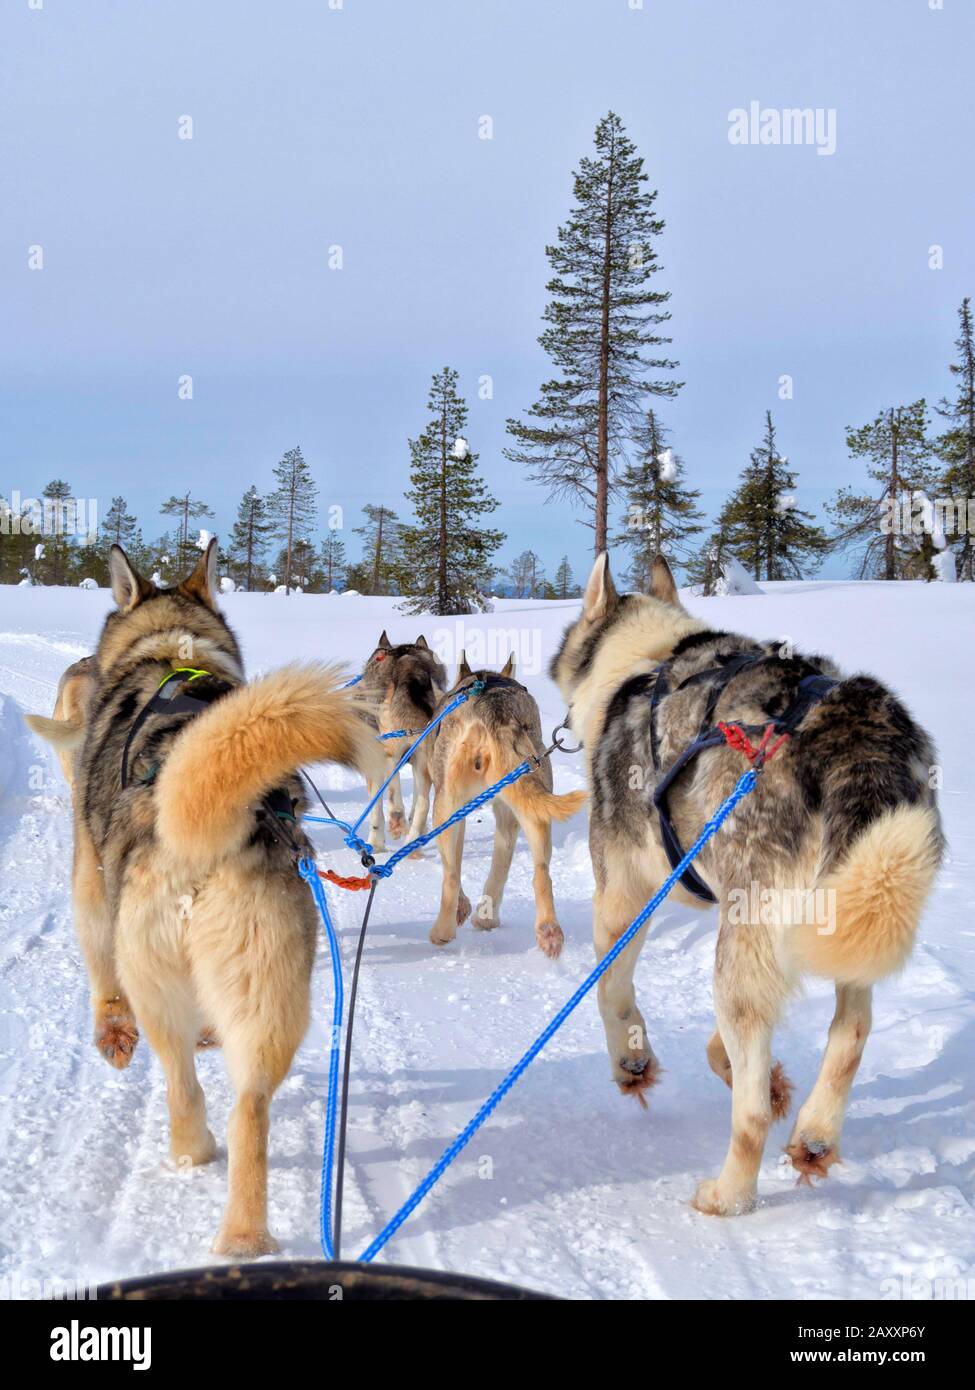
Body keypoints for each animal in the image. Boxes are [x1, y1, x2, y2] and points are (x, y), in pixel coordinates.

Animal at [24, 542, 381, 1262]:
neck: (172, 651)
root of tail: (211, 839)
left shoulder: (89, 876)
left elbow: (99, 970)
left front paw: (109, 1029)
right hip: (270, 992)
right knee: (248, 1105)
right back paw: (244, 1234)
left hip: (156, 981)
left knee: (180, 1083)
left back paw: (196, 1154)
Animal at [358, 631, 447, 845]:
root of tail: (411, 668)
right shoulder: (418, 762)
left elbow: (376, 811)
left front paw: (375, 842)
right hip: (424, 758)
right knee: (423, 804)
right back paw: (412, 840)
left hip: (391, 752)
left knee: (393, 792)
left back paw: (397, 820)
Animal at [428, 650, 581, 956]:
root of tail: (495, 712)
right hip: (527, 797)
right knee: (540, 871)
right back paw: (544, 930)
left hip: (445, 805)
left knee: (451, 876)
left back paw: (443, 931)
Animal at [556, 553, 945, 1217]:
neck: (644, 663)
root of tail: (852, 726)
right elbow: (728, 1052)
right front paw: (767, 1077)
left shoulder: (625, 894)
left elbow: (612, 990)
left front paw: (633, 1062)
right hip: (842, 908)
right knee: (851, 1032)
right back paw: (813, 1132)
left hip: (747, 944)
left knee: (753, 1119)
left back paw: (727, 1196)